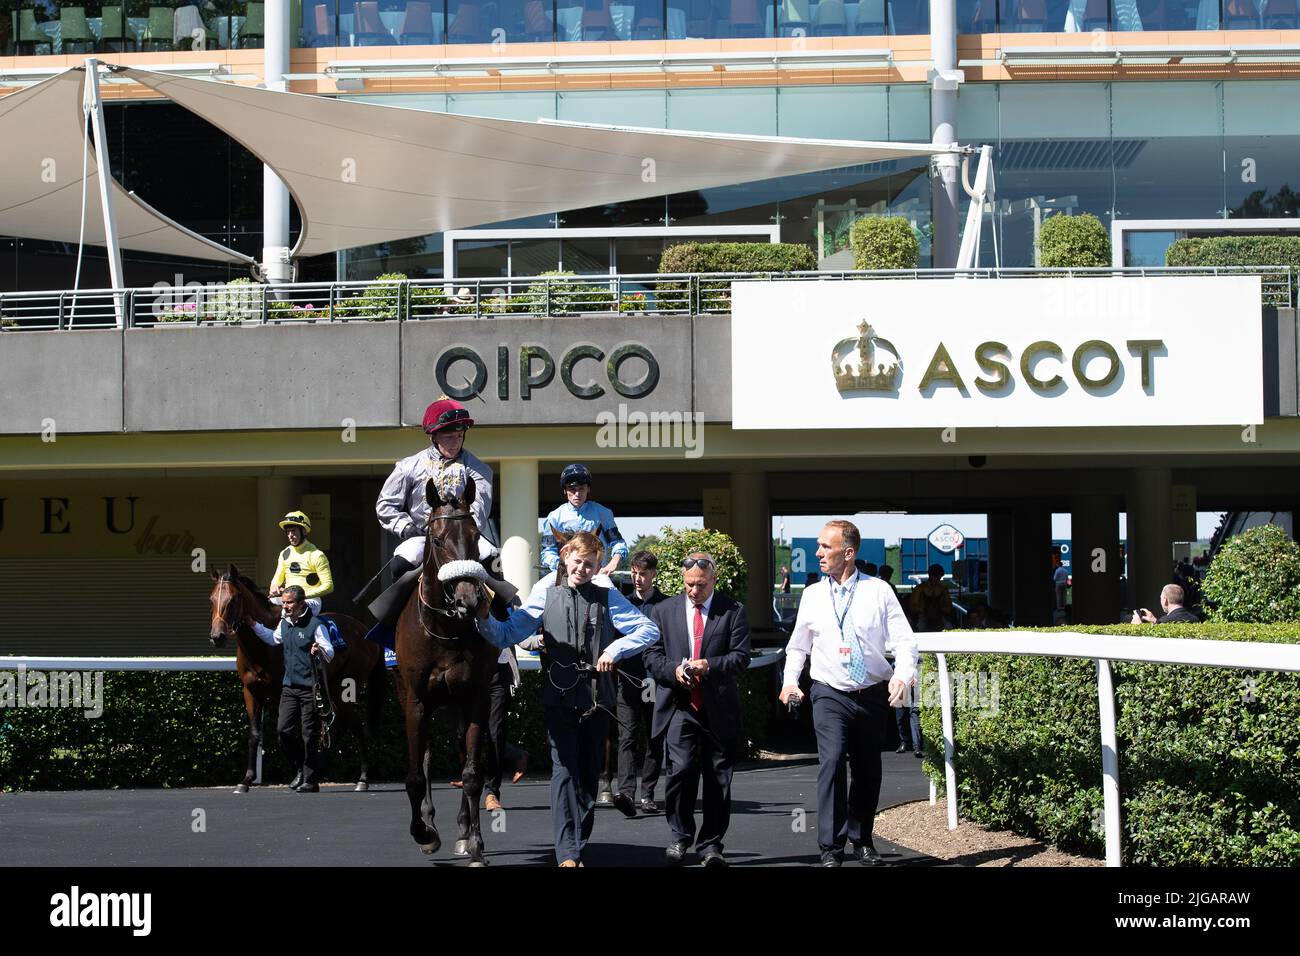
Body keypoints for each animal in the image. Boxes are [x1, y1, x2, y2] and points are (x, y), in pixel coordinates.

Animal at [208, 564, 387, 796]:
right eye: (212, 599)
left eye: (234, 599)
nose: (217, 636)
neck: (262, 648)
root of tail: (364, 630)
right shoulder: (251, 691)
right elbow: (258, 734)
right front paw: (246, 780)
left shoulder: (288, 691)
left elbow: (294, 734)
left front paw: (301, 776)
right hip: (333, 687)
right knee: (339, 723)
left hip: (346, 685)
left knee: (355, 725)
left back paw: (362, 779)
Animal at [392, 470, 499, 868]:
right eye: (437, 539)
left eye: (475, 535)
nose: (469, 598)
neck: (446, 630)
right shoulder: (415, 700)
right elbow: (413, 774)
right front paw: (423, 833)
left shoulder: (476, 698)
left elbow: (471, 772)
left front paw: (475, 843)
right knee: (424, 757)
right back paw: (429, 824)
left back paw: (462, 831)